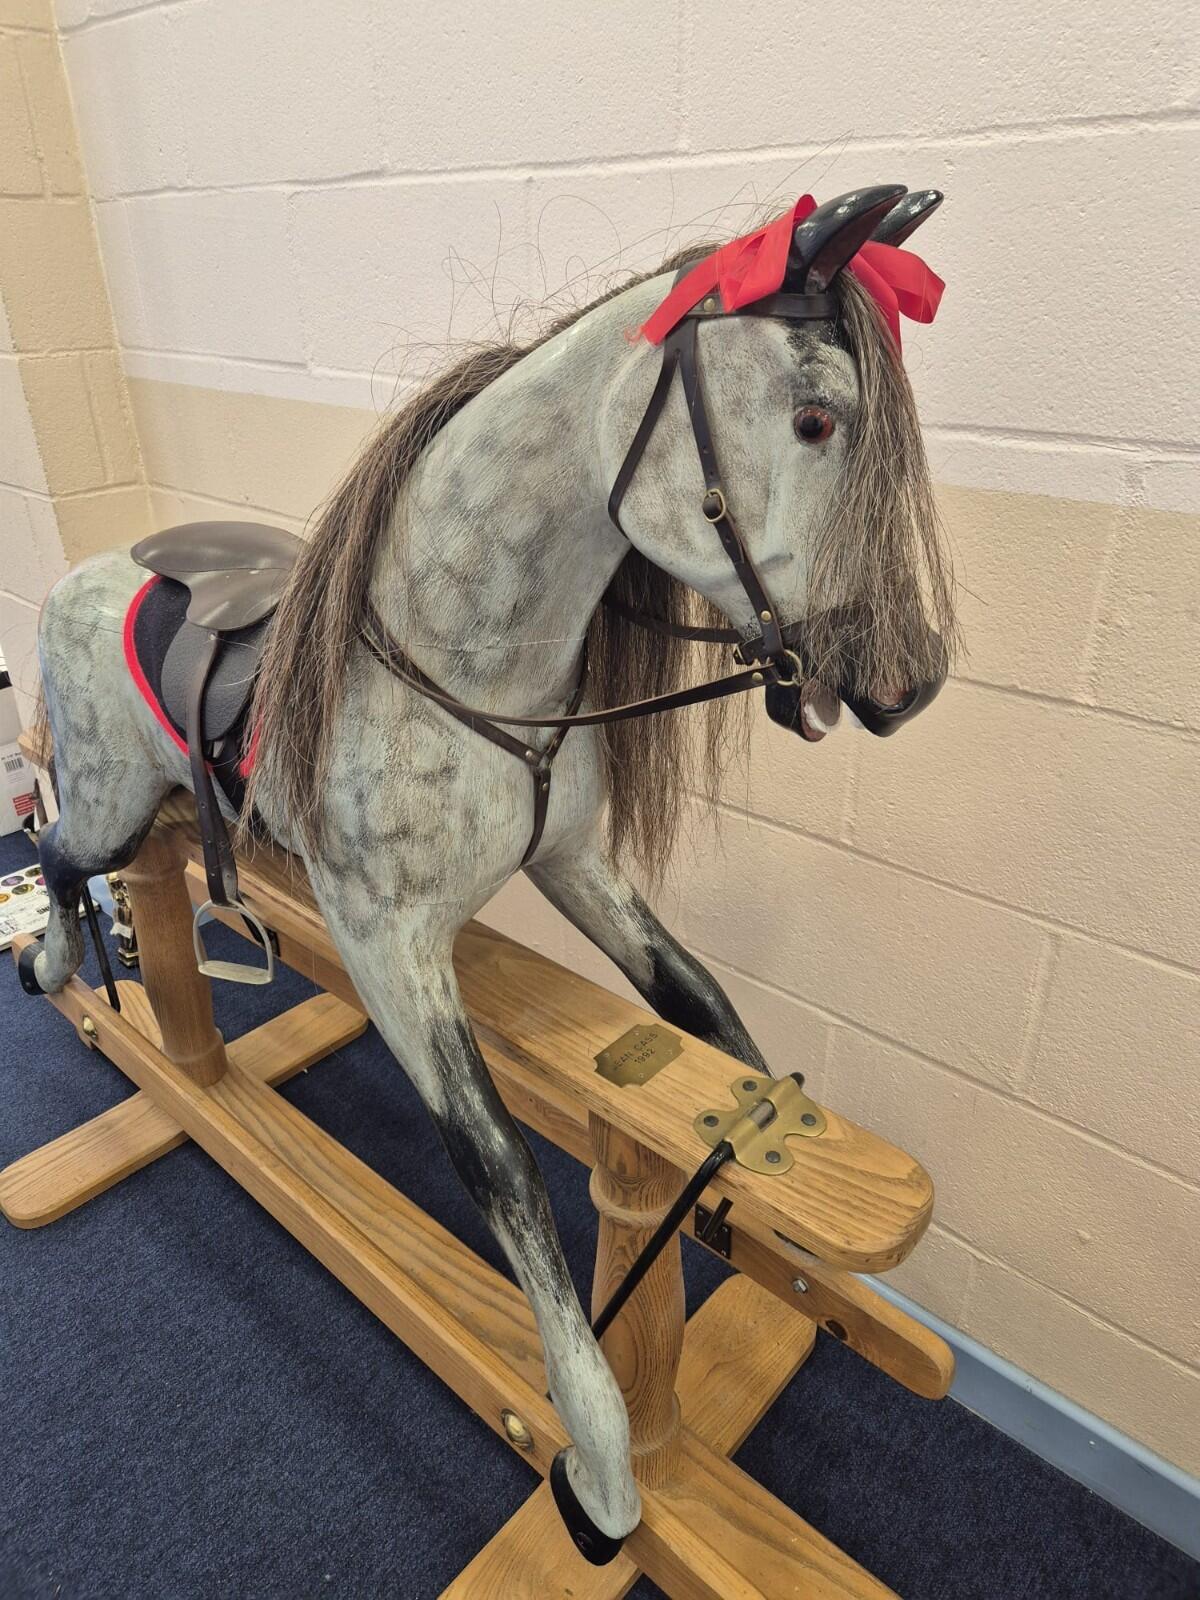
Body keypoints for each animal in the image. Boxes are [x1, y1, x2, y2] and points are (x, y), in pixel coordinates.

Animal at [24, 185, 957, 1562]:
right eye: (815, 415)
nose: (909, 678)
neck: (466, 664)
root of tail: (81, 576)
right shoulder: (387, 942)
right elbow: (501, 1163)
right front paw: (602, 1462)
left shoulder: (578, 865)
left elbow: (708, 1015)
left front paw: (794, 1248)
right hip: (104, 804)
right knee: (51, 846)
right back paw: (54, 962)